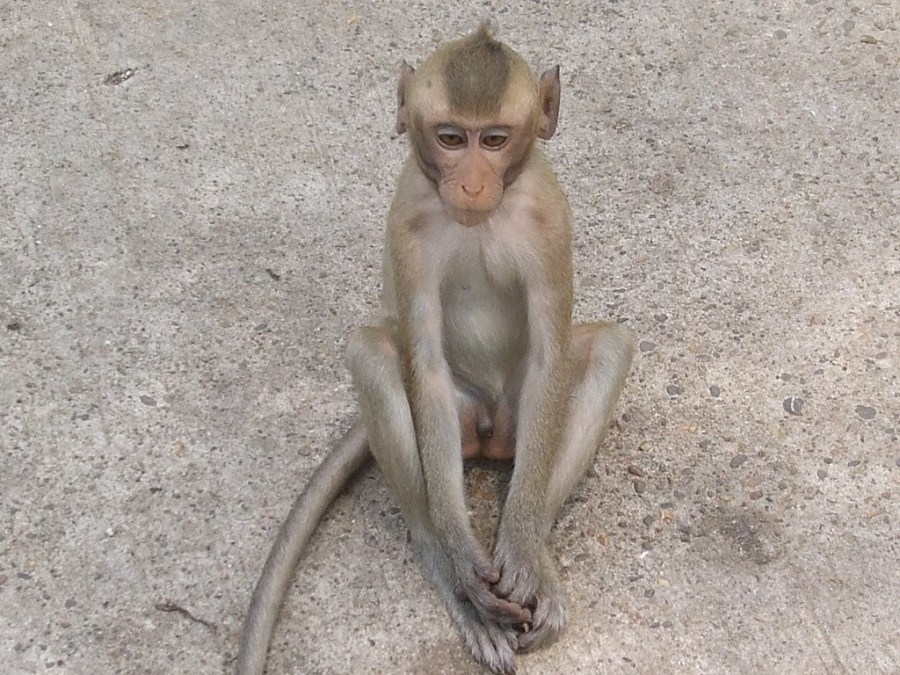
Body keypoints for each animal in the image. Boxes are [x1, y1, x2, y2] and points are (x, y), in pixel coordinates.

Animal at [237, 25, 634, 675]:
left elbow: (552, 356)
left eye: (493, 140)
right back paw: (451, 571)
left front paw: (520, 547)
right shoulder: (408, 222)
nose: (471, 182)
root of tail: (491, 428)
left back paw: (538, 558)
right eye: (451, 138)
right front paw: (461, 553)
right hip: (457, 413)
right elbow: (420, 363)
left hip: (519, 418)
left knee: (608, 348)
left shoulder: (551, 216)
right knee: (374, 353)